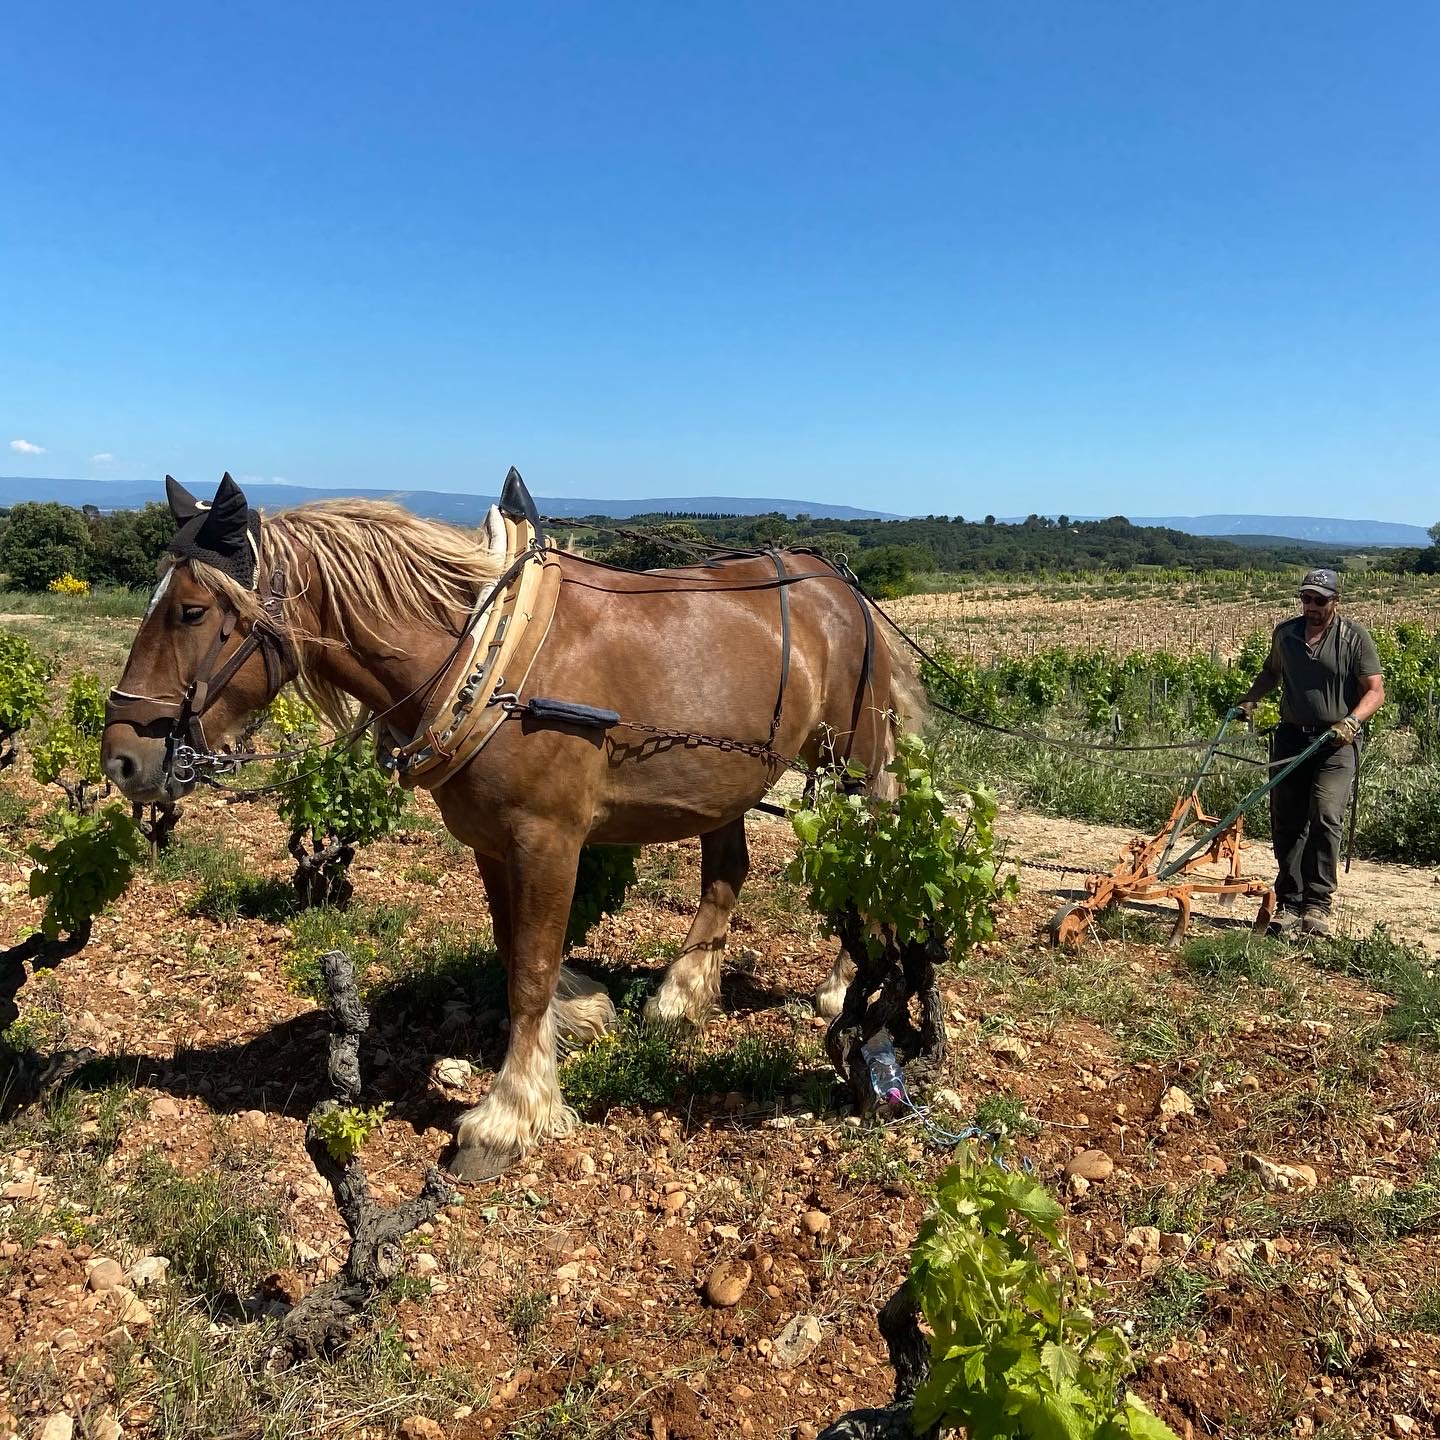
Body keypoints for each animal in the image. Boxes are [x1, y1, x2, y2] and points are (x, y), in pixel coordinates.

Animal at [101, 472, 920, 1181]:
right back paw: (681, 994)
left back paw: (839, 986)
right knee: (726, 871)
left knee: (862, 860)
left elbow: (529, 967)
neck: (482, 657)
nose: (122, 760)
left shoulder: (547, 839)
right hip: (728, 780)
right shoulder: (495, 845)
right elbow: (514, 949)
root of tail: (840, 586)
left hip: (853, 765)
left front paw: (510, 1111)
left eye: (192, 611)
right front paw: (578, 1013)